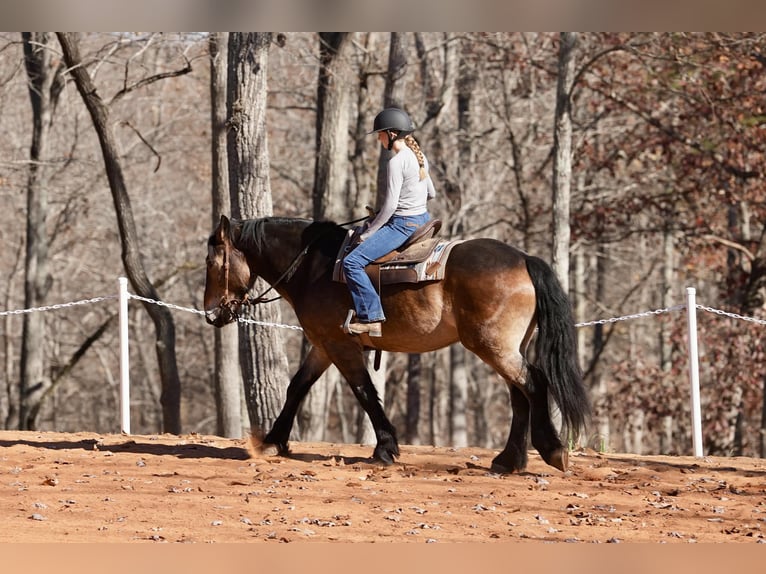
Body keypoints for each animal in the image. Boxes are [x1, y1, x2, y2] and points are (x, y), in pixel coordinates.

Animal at [203, 215, 590, 473]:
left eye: (212, 262)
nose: (211, 314)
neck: (312, 267)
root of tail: (524, 259)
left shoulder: (340, 345)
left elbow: (363, 391)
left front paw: (386, 448)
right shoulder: (323, 345)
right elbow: (297, 387)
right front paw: (272, 441)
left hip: (493, 346)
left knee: (533, 384)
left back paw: (551, 451)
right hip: (505, 348)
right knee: (519, 393)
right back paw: (509, 460)